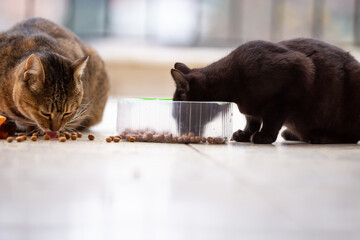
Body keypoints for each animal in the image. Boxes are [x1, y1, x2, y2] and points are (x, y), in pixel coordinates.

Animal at [170, 37, 360, 142]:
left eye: (180, 113)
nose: (181, 132)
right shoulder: (250, 111)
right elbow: (252, 120)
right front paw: (245, 134)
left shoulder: (299, 72)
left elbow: (272, 119)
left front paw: (264, 136)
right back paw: (292, 134)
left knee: (352, 136)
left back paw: (321, 137)